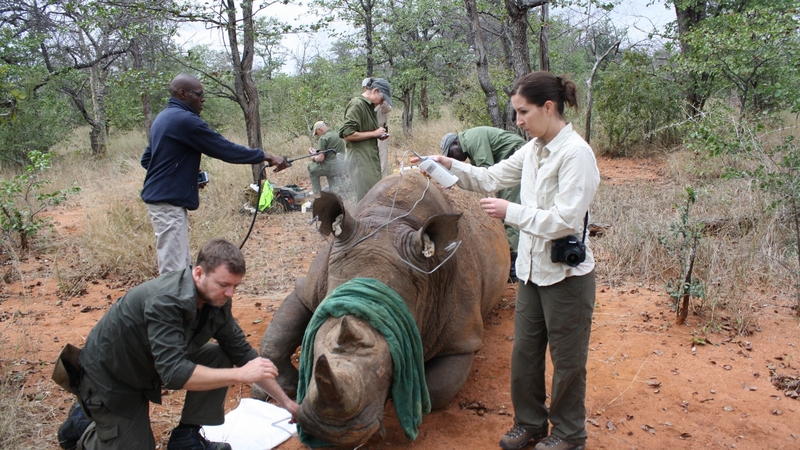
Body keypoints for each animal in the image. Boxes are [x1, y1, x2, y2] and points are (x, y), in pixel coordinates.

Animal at [257, 172, 509, 446]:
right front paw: (274, 389)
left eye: (389, 365)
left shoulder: (461, 339)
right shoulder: (312, 286)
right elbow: (279, 333)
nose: (329, 432)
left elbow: (436, 390)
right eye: (313, 350)